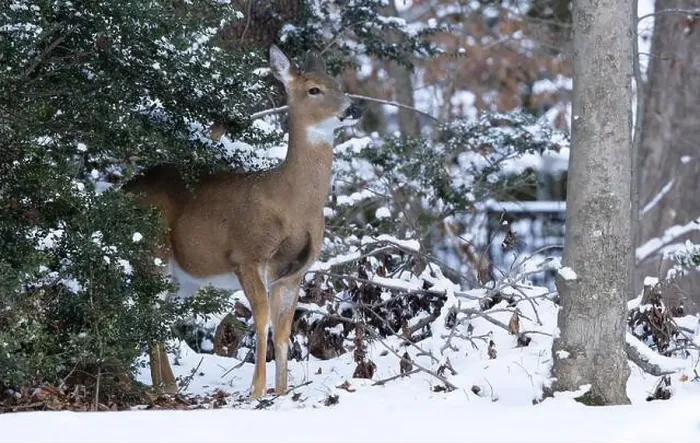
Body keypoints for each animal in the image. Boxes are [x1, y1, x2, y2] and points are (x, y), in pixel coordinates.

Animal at [123, 45, 362, 398]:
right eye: (313, 89)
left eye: (339, 84)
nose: (354, 108)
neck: (291, 202)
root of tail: (123, 189)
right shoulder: (247, 254)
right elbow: (261, 320)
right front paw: (257, 390)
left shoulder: (295, 271)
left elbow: (283, 330)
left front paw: (281, 391)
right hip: (150, 250)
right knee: (147, 311)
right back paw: (163, 389)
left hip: (181, 277)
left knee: (162, 316)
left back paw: (169, 387)